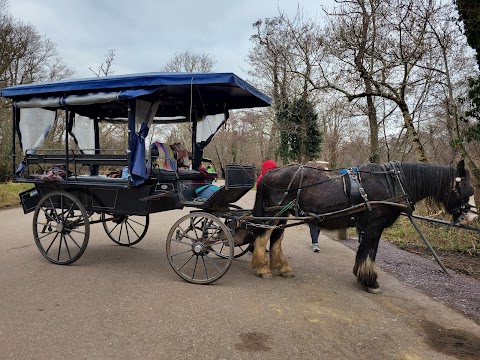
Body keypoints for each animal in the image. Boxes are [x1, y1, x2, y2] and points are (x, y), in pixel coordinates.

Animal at [242, 160, 478, 292]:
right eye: (467, 187)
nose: (472, 218)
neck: (392, 183)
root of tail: (269, 174)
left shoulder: (368, 226)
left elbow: (364, 251)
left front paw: (361, 275)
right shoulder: (375, 226)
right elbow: (370, 252)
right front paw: (370, 281)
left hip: (282, 215)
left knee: (275, 239)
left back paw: (282, 267)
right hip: (272, 214)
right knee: (263, 237)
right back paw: (262, 268)